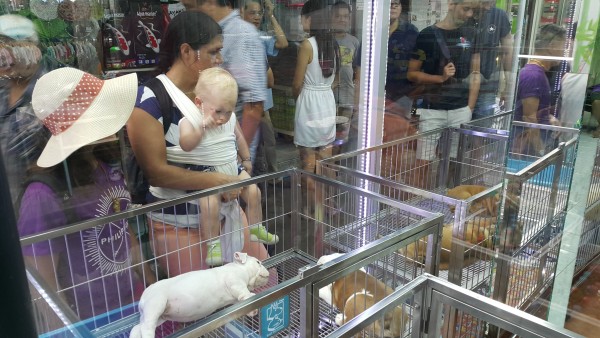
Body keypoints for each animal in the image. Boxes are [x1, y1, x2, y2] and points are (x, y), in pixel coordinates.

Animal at [132, 252, 270, 336]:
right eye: (258, 262)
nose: (267, 272)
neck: (239, 268)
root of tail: (142, 299)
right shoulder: (234, 280)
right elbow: (242, 290)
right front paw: (251, 295)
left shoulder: (235, 298)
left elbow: (241, 298)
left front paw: (252, 311)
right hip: (156, 303)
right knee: (147, 327)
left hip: (158, 316)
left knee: (138, 327)